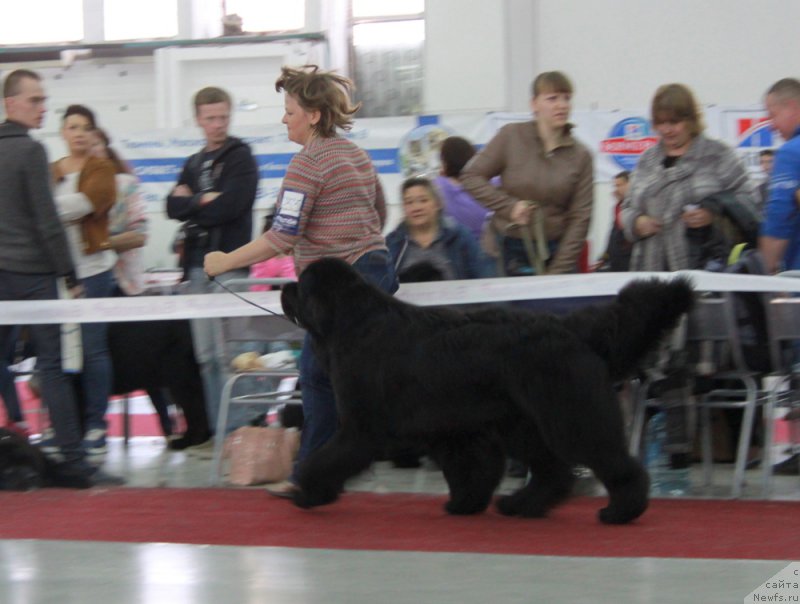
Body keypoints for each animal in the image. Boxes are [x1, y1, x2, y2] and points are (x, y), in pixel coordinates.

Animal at [282, 258, 692, 524]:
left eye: (301, 284)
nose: (285, 286)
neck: (351, 322)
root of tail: (572, 329)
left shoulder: (362, 427)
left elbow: (326, 458)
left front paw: (307, 490)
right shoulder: (449, 427)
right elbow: (470, 468)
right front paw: (465, 504)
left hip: (569, 415)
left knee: (609, 459)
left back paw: (620, 510)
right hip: (522, 424)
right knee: (554, 471)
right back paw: (521, 505)